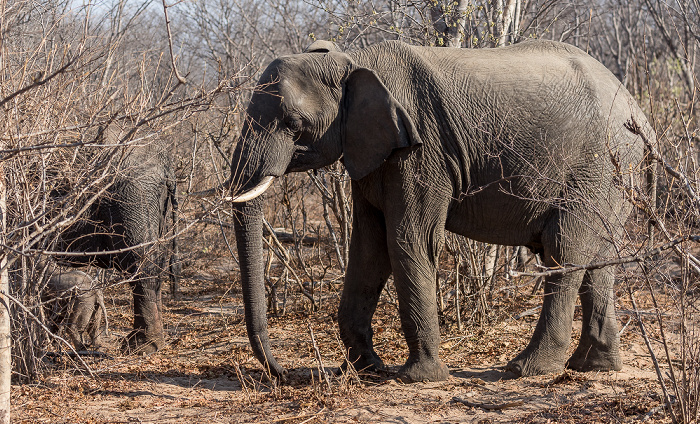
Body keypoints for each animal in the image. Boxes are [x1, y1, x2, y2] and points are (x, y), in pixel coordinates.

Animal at [200, 39, 652, 382]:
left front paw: (418, 378)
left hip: (597, 166)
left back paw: (526, 370)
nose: (287, 374)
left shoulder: (421, 152)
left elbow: (407, 240)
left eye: (293, 124)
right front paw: (367, 371)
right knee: (599, 259)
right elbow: (368, 249)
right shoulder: (374, 153)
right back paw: (595, 367)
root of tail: (638, 112)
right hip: (615, 173)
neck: (351, 60)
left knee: (565, 249)